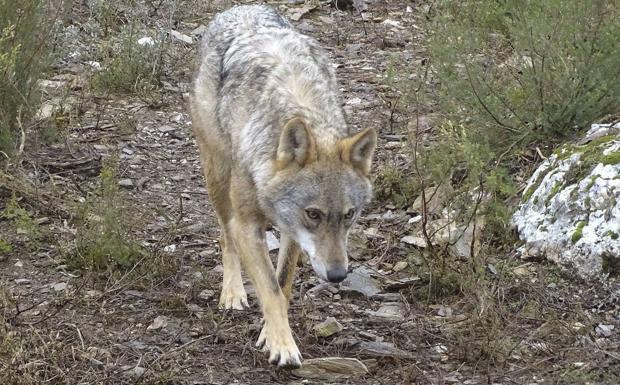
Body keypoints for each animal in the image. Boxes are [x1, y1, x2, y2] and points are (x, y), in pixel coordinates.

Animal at [189, 5, 376, 366]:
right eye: (314, 214)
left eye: (349, 215)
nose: (338, 276)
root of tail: (241, 7)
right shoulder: (248, 225)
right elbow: (270, 291)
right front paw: (283, 346)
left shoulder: (291, 231)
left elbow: (282, 284)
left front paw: (270, 334)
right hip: (217, 177)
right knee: (225, 236)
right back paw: (232, 292)